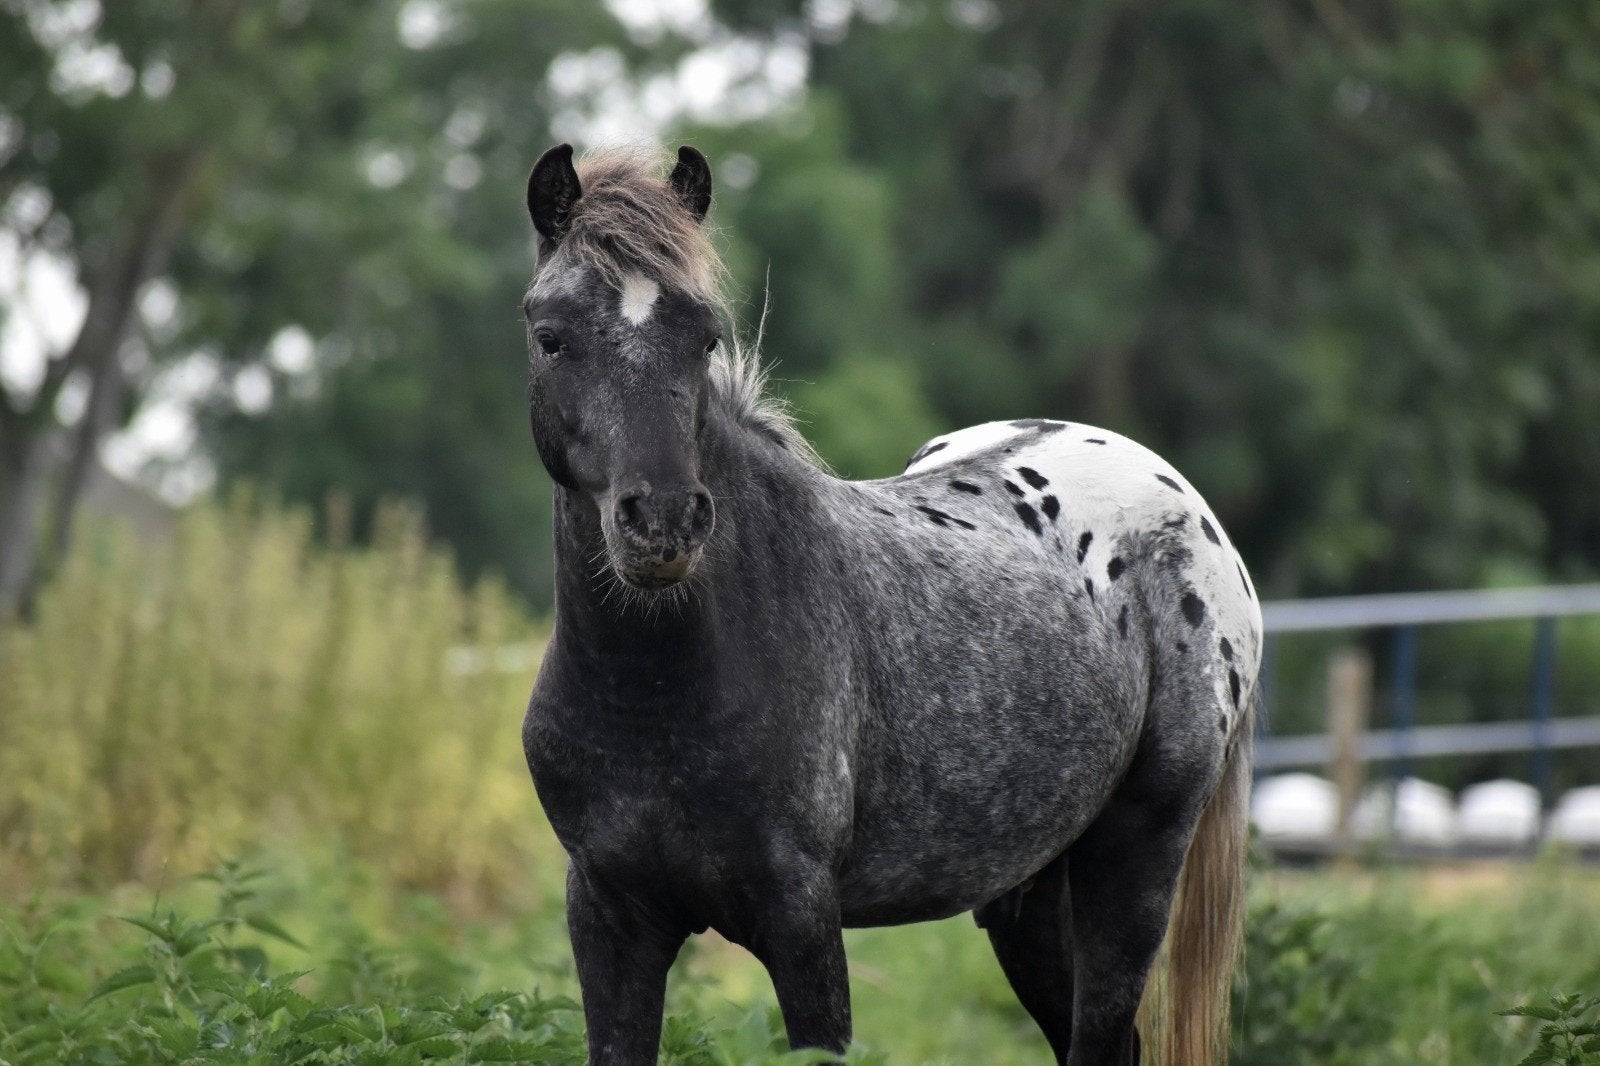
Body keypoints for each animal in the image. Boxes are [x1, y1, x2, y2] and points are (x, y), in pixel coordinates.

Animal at [518, 142, 1262, 1066]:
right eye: (551, 337)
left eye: (705, 336)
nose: (661, 522)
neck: (653, 696)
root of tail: (1190, 508)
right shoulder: (609, 922)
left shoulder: (802, 921)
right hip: (1026, 894)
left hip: (1137, 856)